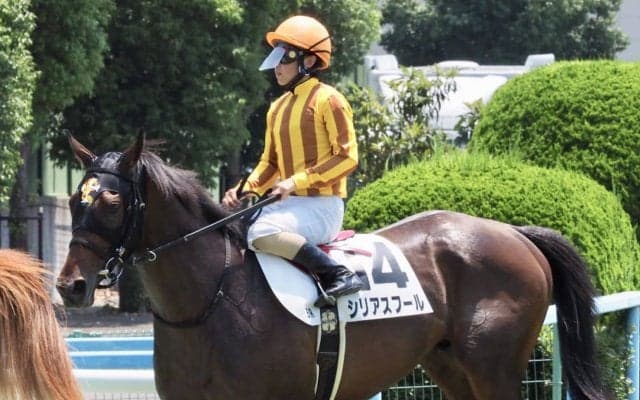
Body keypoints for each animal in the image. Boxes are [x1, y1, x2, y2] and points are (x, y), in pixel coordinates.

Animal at [56, 132, 609, 400]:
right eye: (75, 199)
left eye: (110, 202)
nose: (71, 286)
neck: (211, 299)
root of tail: (515, 233)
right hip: (450, 365)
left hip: (494, 368)